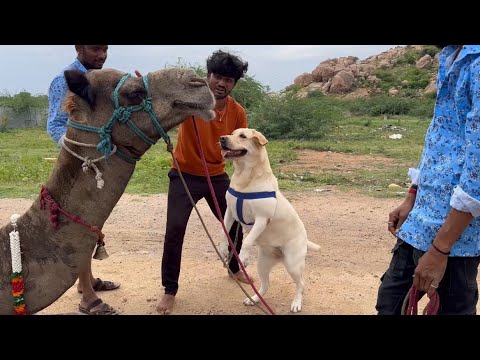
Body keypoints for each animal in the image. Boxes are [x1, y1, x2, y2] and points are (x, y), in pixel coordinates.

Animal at [219, 128, 320, 310]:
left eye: (243, 136)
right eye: (231, 133)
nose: (221, 138)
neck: (246, 179)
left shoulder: (261, 218)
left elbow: (247, 241)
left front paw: (242, 258)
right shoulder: (229, 212)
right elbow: (223, 231)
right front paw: (223, 249)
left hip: (293, 265)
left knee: (301, 284)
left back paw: (296, 303)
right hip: (263, 265)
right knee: (266, 285)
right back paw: (254, 299)